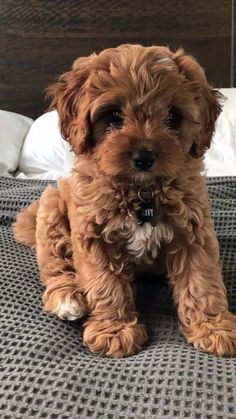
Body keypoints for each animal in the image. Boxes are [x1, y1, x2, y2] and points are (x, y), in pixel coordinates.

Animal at [13, 43, 236, 358]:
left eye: (172, 116)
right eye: (114, 115)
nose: (144, 157)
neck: (141, 192)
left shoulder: (194, 232)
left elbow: (202, 281)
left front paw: (213, 328)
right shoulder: (93, 236)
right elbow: (105, 285)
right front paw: (115, 332)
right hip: (52, 208)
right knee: (56, 267)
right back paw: (68, 298)